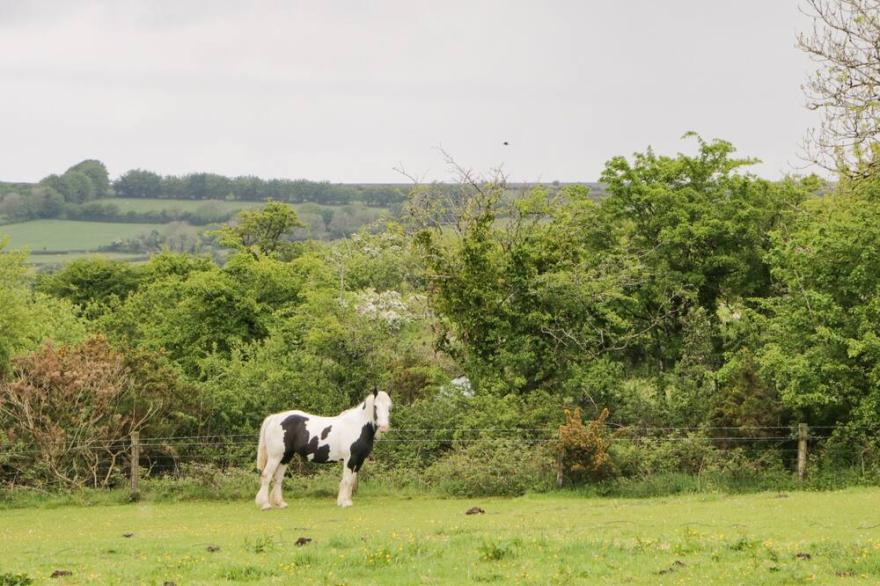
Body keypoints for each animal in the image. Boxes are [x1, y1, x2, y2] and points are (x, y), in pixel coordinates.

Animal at [254, 388, 392, 506]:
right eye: (375, 406)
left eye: (389, 407)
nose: (384, 427)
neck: (357, 425)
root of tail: (274, 418)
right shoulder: (349, 459)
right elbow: (346, 480)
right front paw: (344, 503)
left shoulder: (359, 460)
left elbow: (351, 481)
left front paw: (347, 501)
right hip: (275, 456)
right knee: (266, 476)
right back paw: (265, 504)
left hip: (285, 457)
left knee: (278, 478)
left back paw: (280, 503)